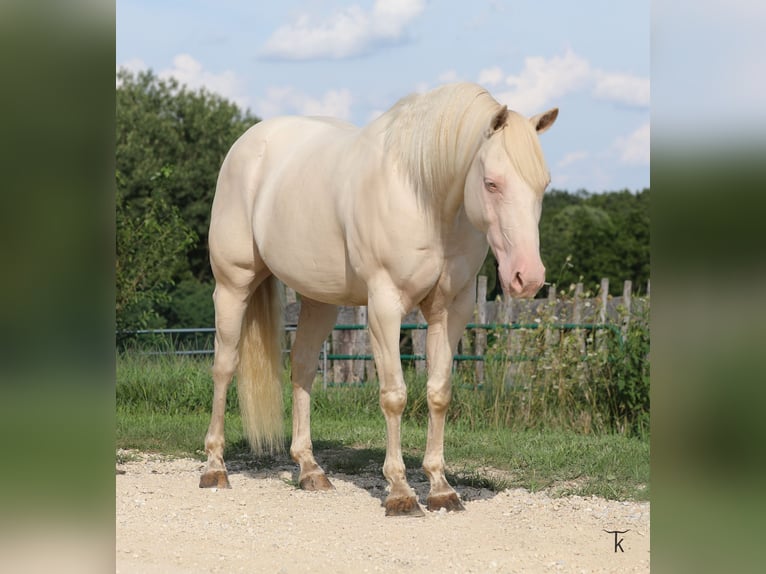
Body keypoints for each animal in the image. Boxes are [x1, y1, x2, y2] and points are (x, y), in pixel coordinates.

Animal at [199, 82, 558, 516]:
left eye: (543, 185)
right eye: (491, 183)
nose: (528, 277)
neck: (424, 197)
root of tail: (247, 144)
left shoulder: (450, 311)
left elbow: (439, 393)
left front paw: (440, 488)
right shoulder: (385, 307)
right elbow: (394, 395)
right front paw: (400, 491)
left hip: (319, 299)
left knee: (302, 368)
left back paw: (310, 469)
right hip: (233, 285)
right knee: (224, 367)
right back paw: (215, 467)